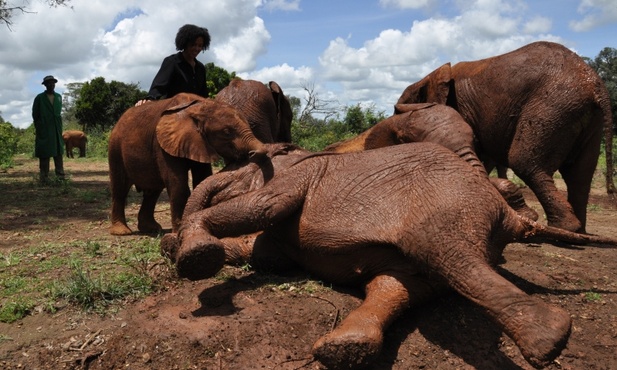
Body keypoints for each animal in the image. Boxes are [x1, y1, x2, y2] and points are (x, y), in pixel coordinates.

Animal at [108, 92, 268, 234]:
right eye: (226, 132)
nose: (249, 155)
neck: (197, 107)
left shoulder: (199, 143)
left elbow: (201, 177)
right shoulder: (163, 145)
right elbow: (178, 184)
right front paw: (179, 231)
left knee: (152, 191)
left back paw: (151, 229)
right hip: (115, 148)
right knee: (120, 188)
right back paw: (122, 231)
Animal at [162, 142, 616, 370]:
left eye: (237, 171)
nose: (172, 239)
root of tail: (508, 216)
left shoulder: (300, 178)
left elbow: (262, 208)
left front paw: (193, 255)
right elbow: (264, 255)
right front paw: (177, 248)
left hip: (444, 205)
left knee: (450, 257)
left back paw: (551, 339)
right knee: (399, 285)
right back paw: (345, 349)